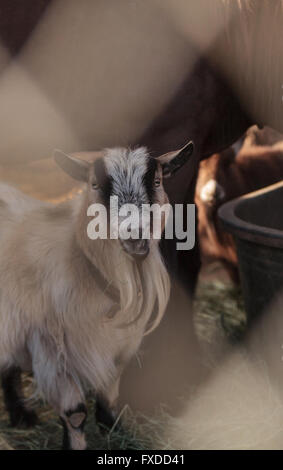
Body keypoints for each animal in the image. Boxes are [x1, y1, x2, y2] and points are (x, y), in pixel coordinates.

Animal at [0, 141, 194, 450]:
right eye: (94, 183)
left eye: (156, 181)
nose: (134, 235)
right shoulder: (51, 348)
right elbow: (75, 412)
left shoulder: (117, 345)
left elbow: (110, 397)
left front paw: (117, 432)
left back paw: (21, 416)